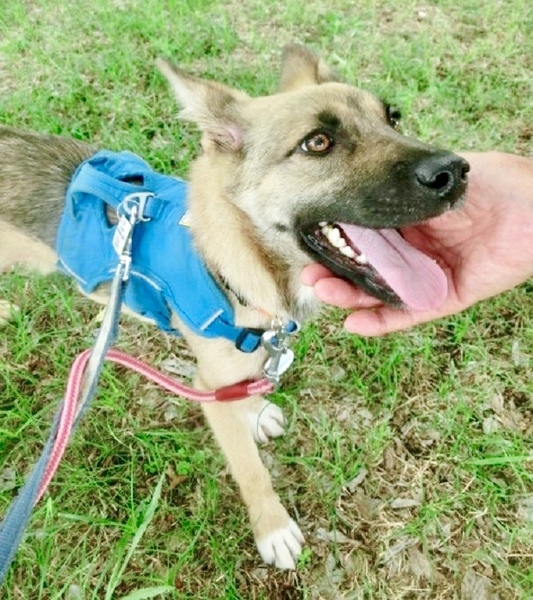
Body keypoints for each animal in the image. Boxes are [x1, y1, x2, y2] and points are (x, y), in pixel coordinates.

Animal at [0, 44, 468, 569]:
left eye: (393, 117)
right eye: (318, 143)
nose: (456, 172)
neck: (238, 269)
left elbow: (247, 392)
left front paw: (257, 411)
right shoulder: (208, 385)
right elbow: (251, 470)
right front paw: (272, 527)